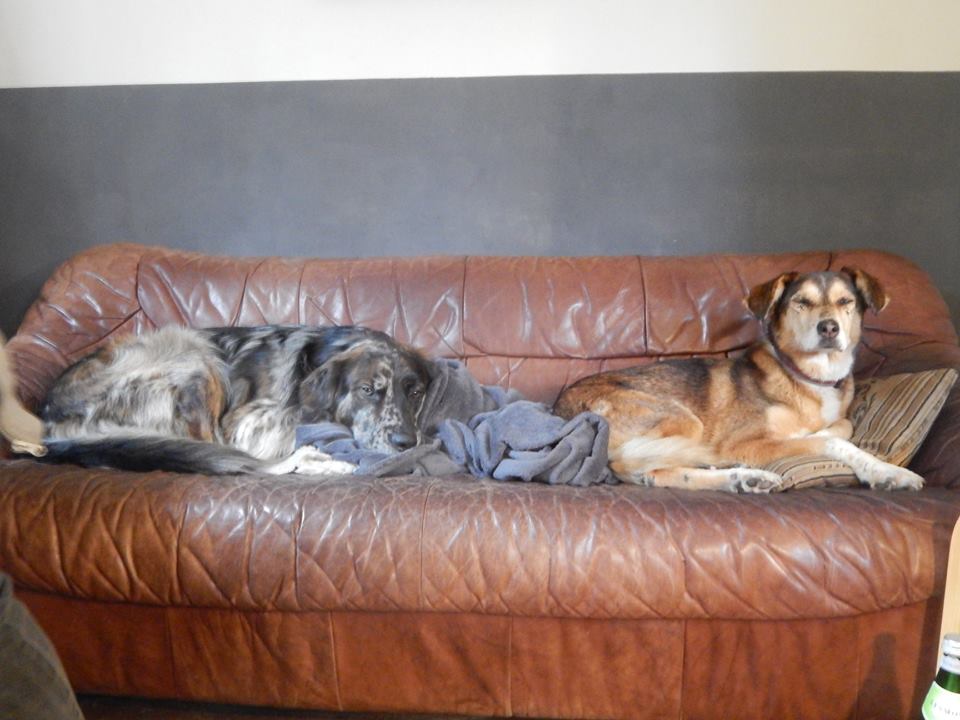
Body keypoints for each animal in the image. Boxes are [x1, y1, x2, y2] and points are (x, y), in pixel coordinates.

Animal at [40, 324, 433, 476]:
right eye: (367, 389)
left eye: (415, 393)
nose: (406, 442)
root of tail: (53, 413)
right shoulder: (244, 421)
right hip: (195, 357)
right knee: (234, 460)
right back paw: (316, 462)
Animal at [554, 268, 924, 493]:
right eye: (801, 302)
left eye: (846, 301)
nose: (829, 328)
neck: (809, 377)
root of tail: (561, 409)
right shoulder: (747, 442)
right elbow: (836, 442)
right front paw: (889, 472)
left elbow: (842, 427)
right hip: (682, 419)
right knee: (638, 463)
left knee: (658, 472)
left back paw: (745, 479)